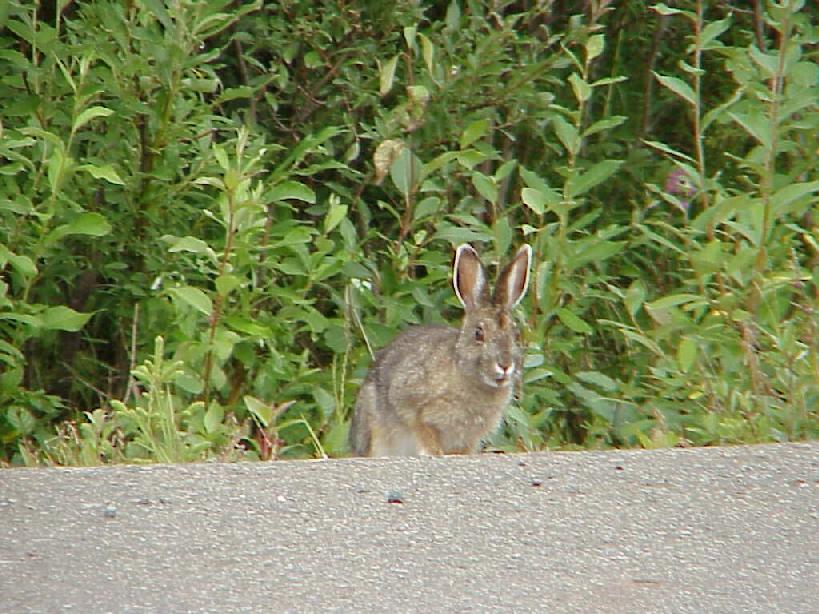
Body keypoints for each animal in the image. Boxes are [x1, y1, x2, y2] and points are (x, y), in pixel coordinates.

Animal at [350, 244, 532, 458]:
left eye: (516, 334)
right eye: (479, 333)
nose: (505, 366)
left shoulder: (469, 439)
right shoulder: (412, 406)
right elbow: (423, 430)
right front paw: (434, 453)